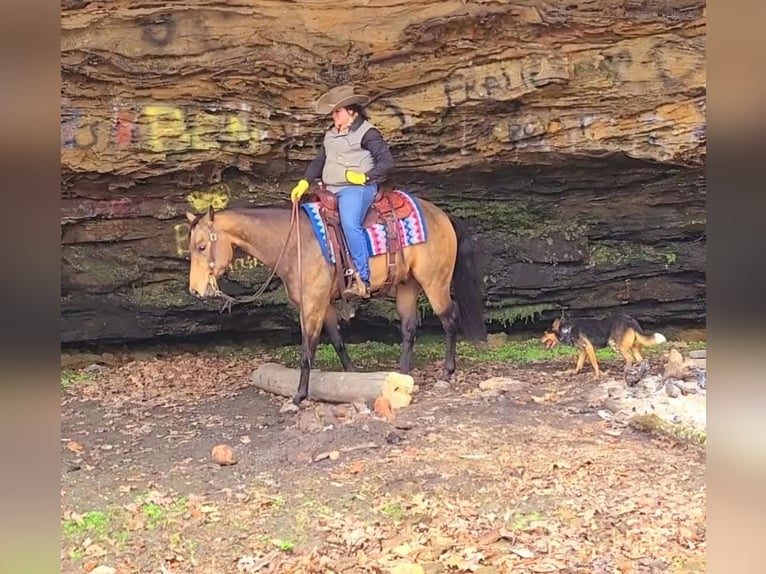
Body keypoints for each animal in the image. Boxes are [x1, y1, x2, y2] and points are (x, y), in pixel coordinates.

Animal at [185, 192, 487, 405]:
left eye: (201, 247)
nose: (196, 291)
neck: (295, 244)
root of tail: (442, 215)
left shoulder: (312, 305)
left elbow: (307, 350)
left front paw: (299, 396)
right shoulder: (325, 304)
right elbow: (337, 340)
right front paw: (351, 375)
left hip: (435, 282)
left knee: (450, 320)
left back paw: (446, 373)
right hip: (406, 285)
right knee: (410, 328)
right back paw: (401, 375)